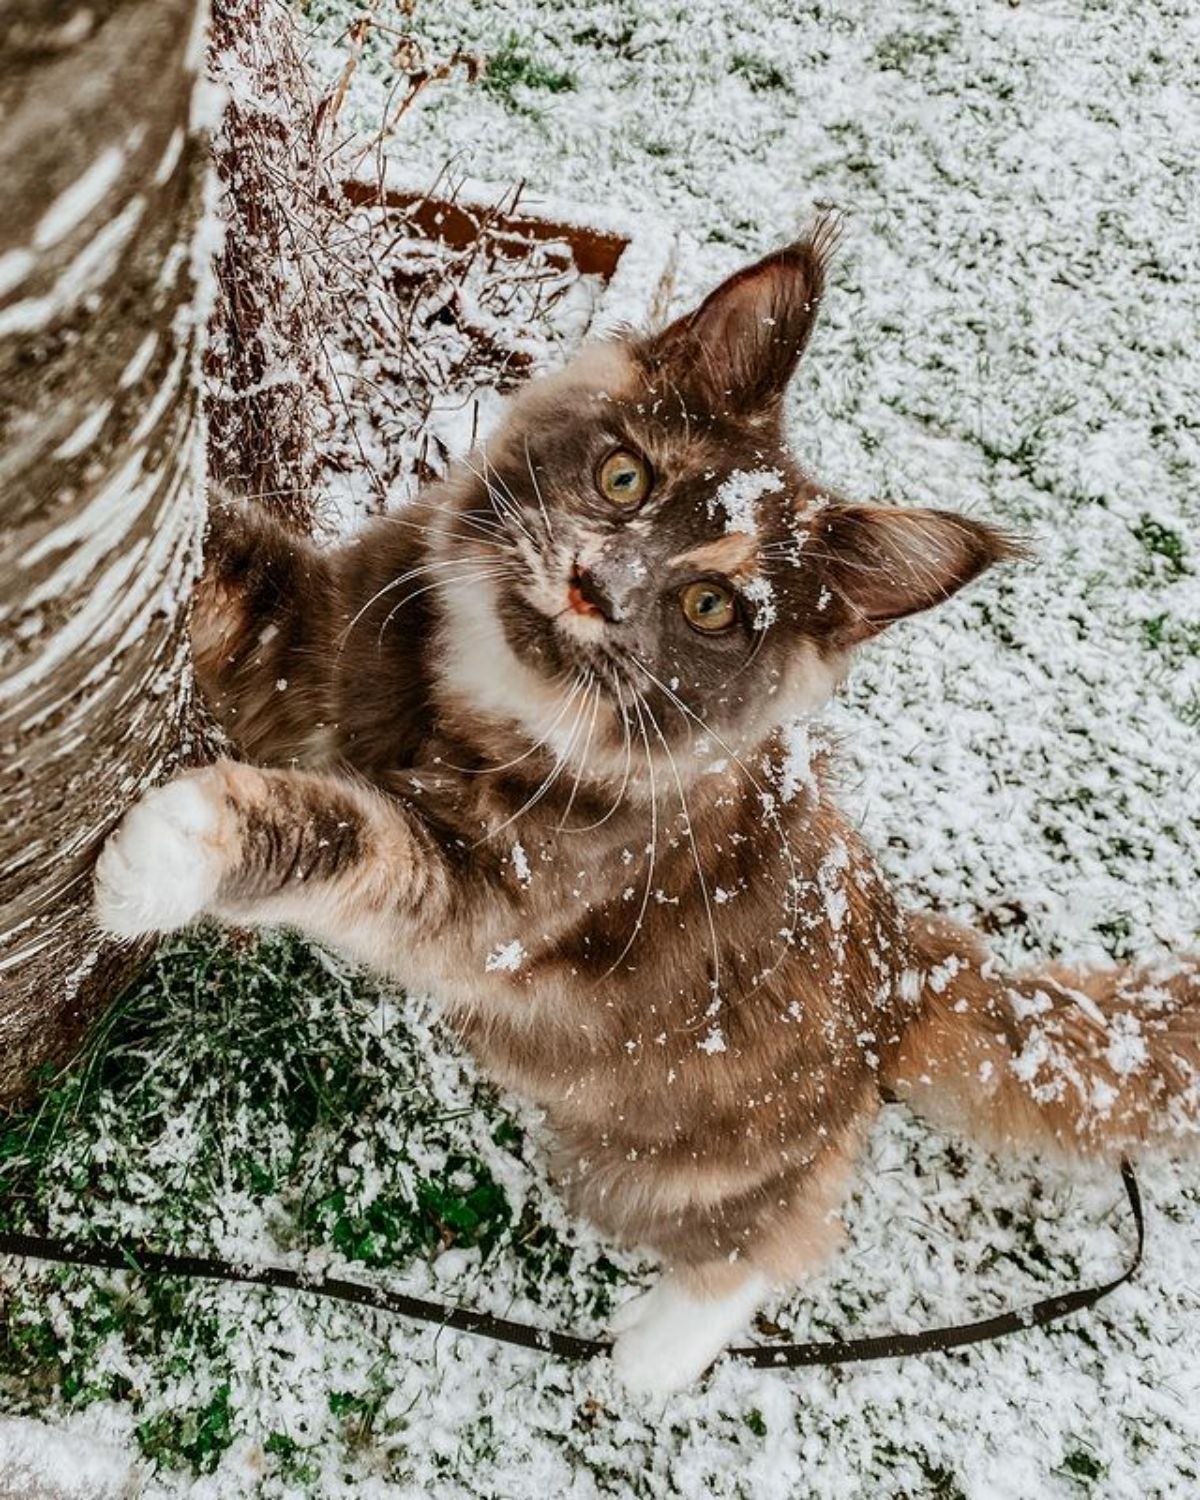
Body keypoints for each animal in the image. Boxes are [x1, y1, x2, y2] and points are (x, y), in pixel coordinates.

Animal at [96, 222, 1200, 1392]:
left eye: (710, 606)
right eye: (625, 477)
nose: (595, 584)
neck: (487, 689)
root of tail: (904, 961)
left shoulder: (494, 896)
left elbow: (343, 834)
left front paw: (164, 853)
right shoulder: (315, 638)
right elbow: (227, 557)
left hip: (655, 1157)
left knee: (783, 1225)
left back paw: (656, 1357)